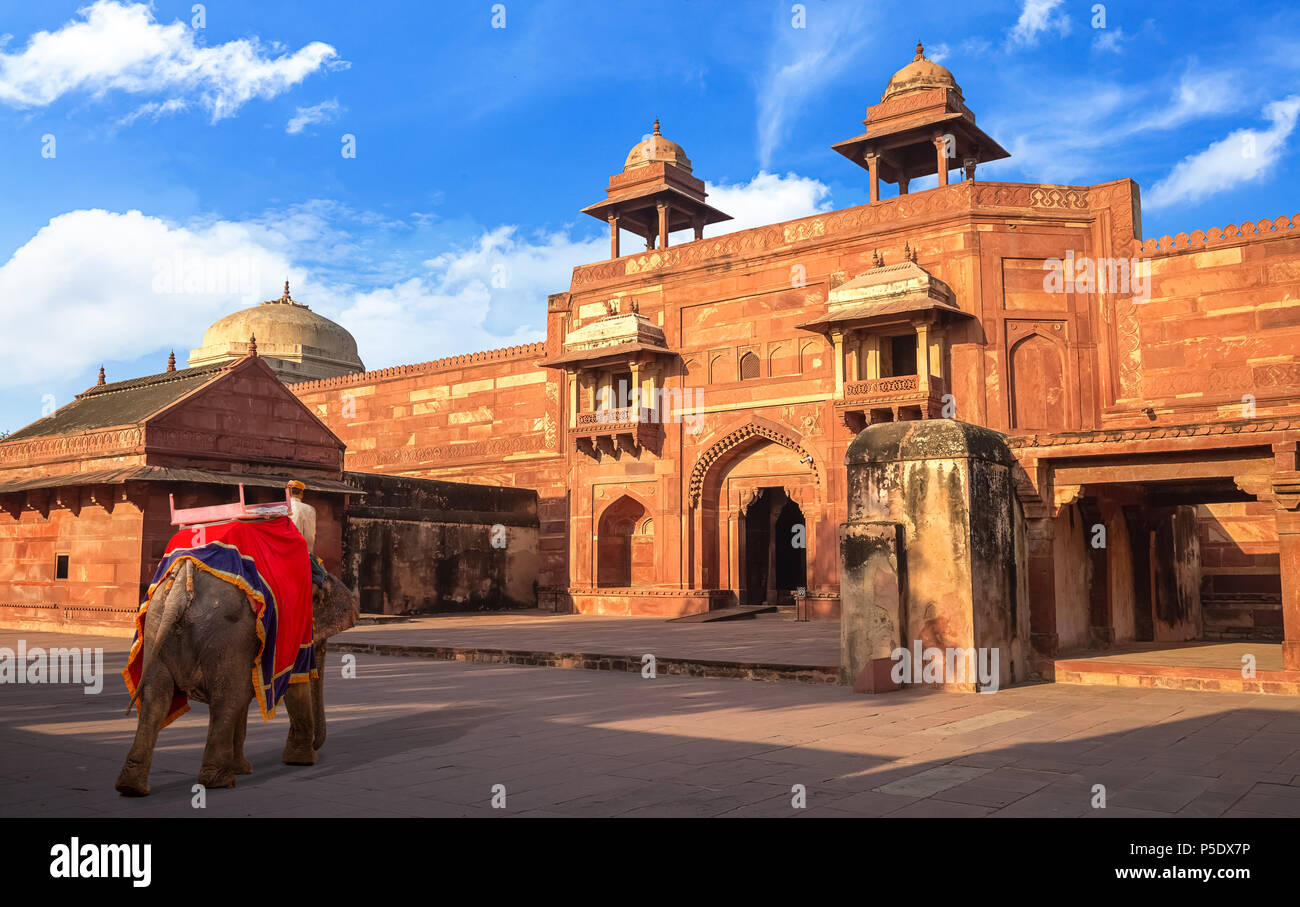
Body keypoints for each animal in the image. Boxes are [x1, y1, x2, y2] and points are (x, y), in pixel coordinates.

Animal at [115, 561, 361, 795]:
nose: (317, 747)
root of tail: (181, 587)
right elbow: (293, 685)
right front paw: (302, 761)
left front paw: (244, 768)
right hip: (227, 634)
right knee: (225, 699)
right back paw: (220, 781)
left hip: (156, 628)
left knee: (157, 697)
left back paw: (132, 787)